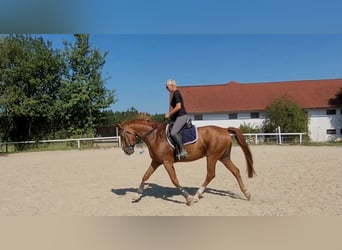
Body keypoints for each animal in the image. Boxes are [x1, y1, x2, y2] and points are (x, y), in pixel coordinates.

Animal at [117, 119, 254, 205]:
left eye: (123, 135)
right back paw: (247, 194)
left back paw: (197, 196)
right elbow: (145, 176)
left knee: (211, 174)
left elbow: (174, 180)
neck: (155, 136)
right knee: (235, 171)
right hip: (223, 157)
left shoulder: (167, 162)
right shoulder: (156, 161)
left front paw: (188, 198)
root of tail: (225, 130)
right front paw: (136, 196)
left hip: (212, 156)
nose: (127, 151)